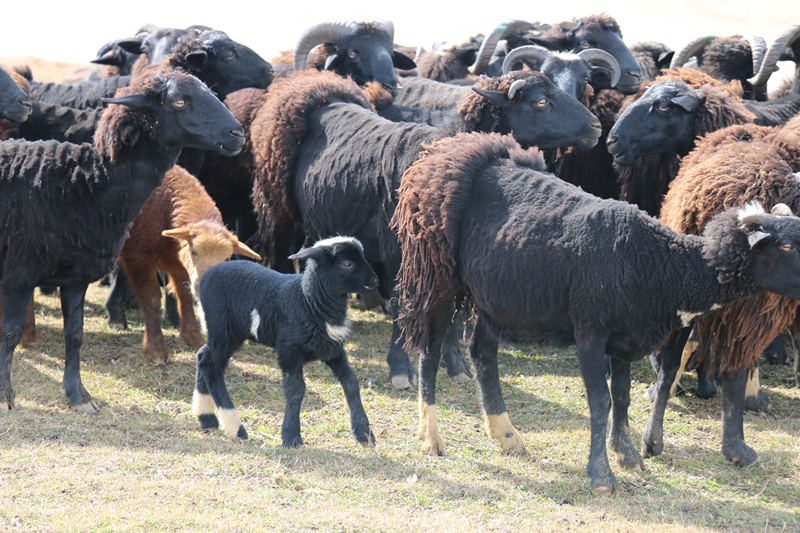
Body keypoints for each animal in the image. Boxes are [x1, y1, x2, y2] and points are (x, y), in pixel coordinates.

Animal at [108, 164, 260, 360]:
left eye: (227, 259)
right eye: (193, 251)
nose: (206, 287)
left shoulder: (177, 262)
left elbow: (185, 297)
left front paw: (194, 338)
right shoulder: (138, 255)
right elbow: (151, 298)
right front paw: (156, 348)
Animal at [195, 235, 380, 446]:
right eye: (347, 264)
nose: (376, 281)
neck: (308, 300)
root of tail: (208, 274)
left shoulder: (333, 348)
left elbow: (351, 382)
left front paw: (364, 432)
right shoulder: (288, 351)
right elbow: (296, 389)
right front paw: (291, 436)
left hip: (224, 333)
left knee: (203, 356)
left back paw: (207, 418)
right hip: (222, 329)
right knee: (212, 367)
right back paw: (236, 428)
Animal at [392, 130, 800, 494]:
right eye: (786, 245)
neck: (662, 266)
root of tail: (448, 150)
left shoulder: (625, 339)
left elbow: (621, 396)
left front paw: (628, 454)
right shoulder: (590, 331)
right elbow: (600, 401)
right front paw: (602, 475)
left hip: (496, 297)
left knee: (483, 353)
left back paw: (507, 435)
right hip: (438, 277)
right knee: (429, 351)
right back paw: (431, 438)